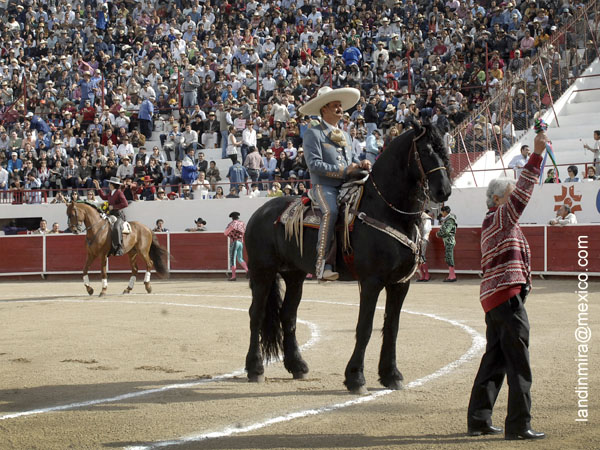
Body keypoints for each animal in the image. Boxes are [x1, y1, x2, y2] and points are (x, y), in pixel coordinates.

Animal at [244, 122, 450, 394]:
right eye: (426, 151)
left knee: (287, 315)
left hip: (294, 275)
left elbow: (392, 327)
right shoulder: (371, 282)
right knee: (256, 314)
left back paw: (297, 365)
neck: (387, 211)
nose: (444, 190)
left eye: (445, 149)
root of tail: (261, 212)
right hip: (262, 273)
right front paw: (355, 378)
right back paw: (255, 368)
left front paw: (391, 375)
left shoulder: (400, 283)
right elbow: (365, 328)